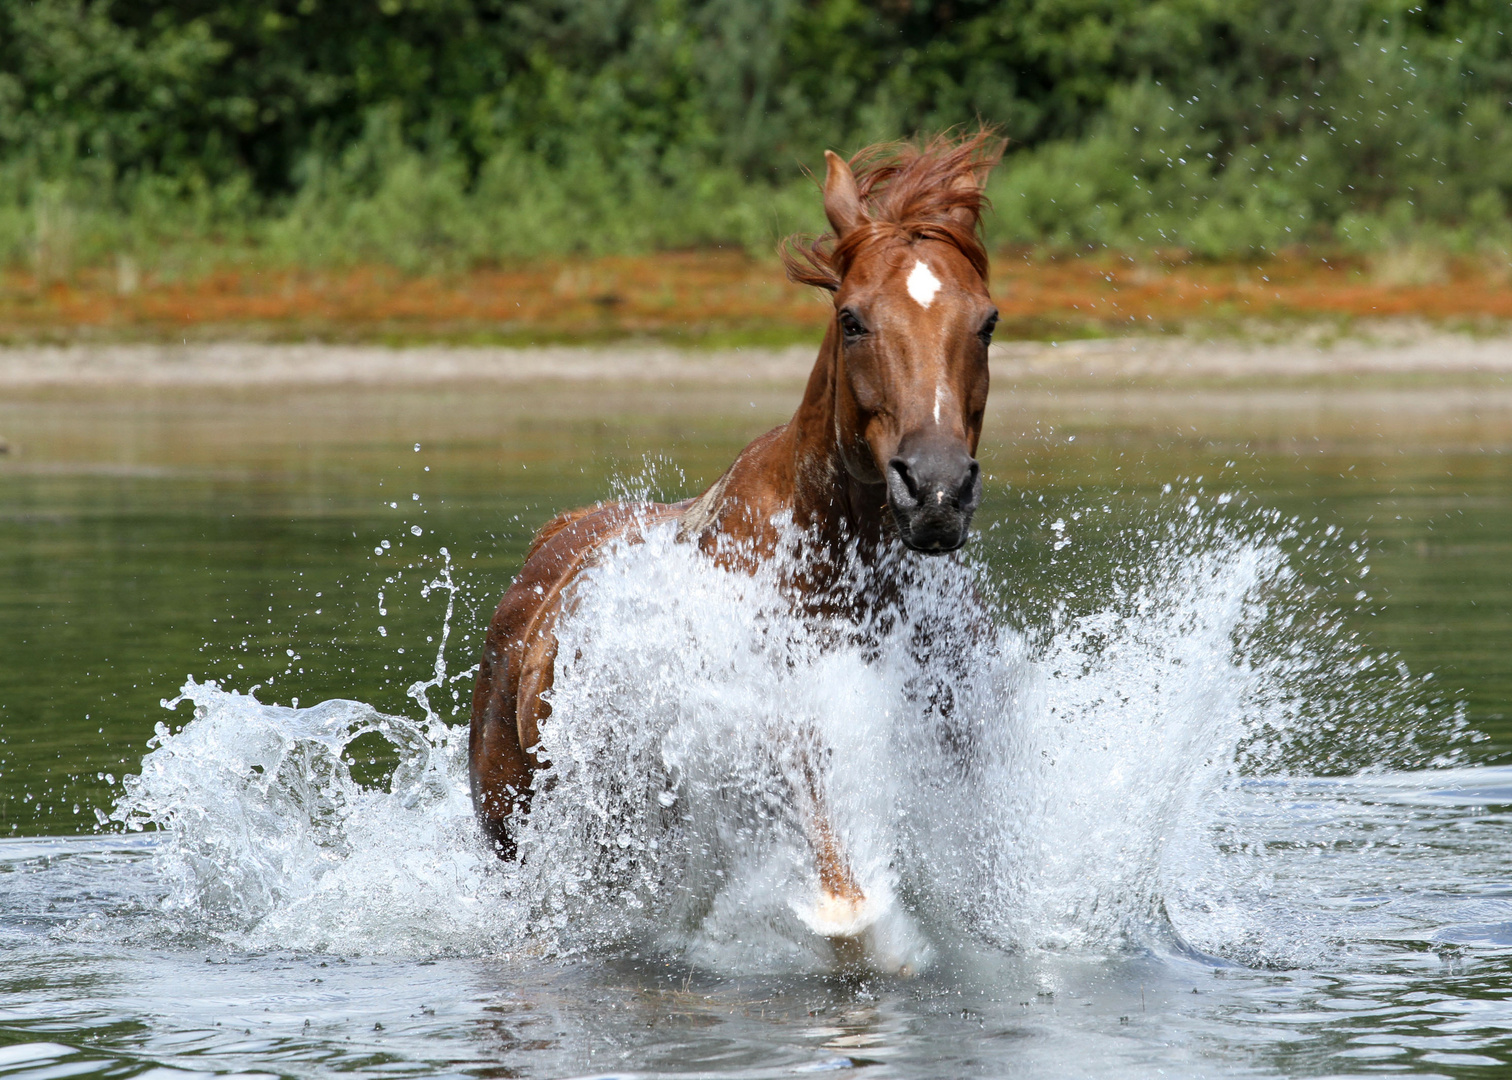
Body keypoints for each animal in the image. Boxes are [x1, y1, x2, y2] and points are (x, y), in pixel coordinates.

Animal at [468, 130, 1003, 943]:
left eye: (988, 320)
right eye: (852, 318)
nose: (936, 487)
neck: (834, 579)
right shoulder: (774, 746)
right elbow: (841, 891)